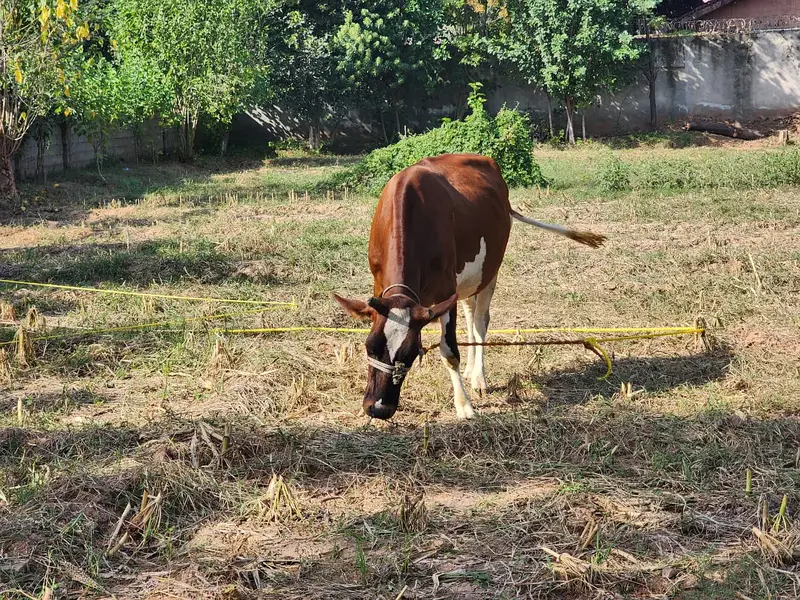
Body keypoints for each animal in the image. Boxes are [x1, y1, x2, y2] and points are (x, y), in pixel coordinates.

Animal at [334, 153, 605, 420]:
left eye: (411, 353)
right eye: (370, 347)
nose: (378, 409)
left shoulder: (446, 291)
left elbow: (449, 352)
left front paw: (464, 406)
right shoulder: (380, 285)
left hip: (489, 271)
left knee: (480, 322)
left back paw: (478, 378)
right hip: (466, 283)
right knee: (471, 316)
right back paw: (470, 370)